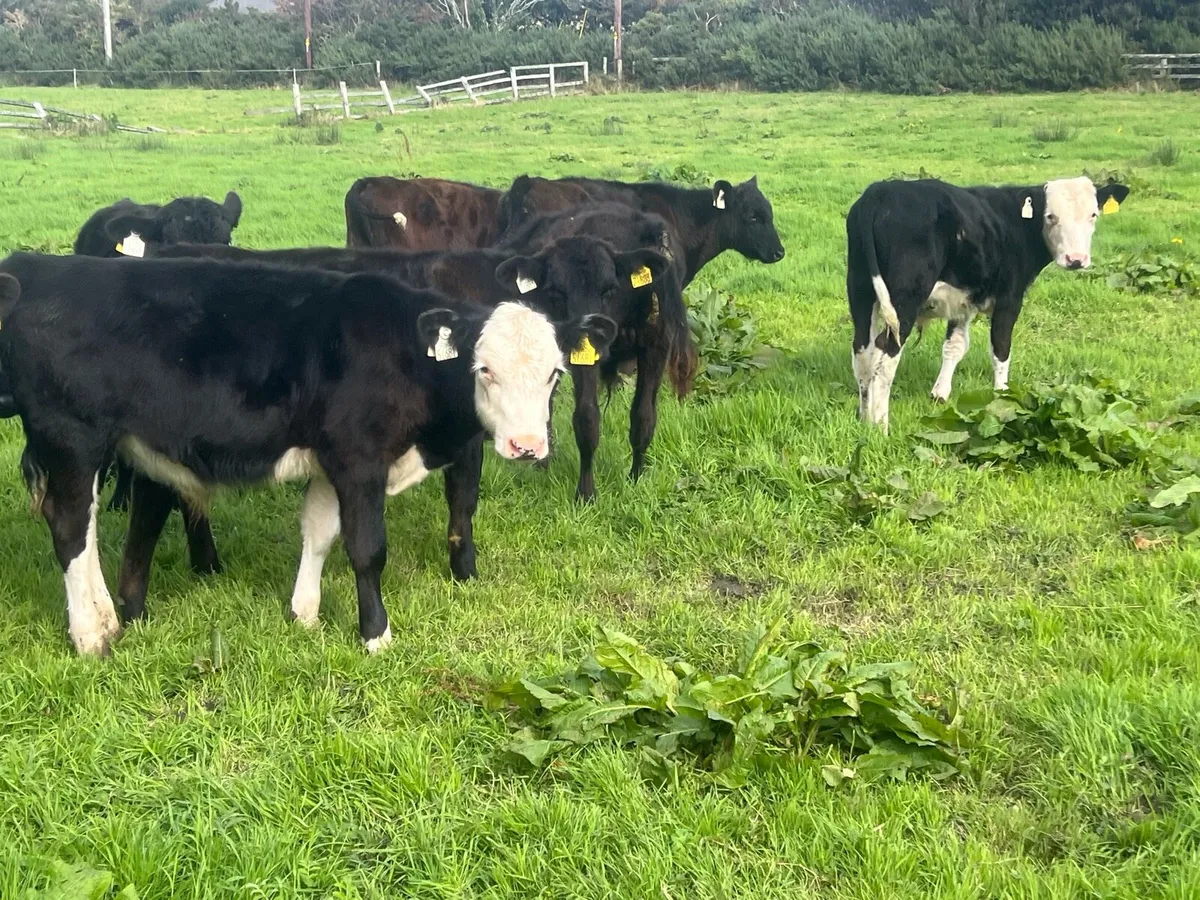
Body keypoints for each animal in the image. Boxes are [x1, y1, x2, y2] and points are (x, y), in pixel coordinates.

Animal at [0, 253, 617, 656]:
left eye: (555, 373)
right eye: (483, 369)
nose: (526, 445)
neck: (402, 353)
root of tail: (40, 267)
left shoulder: (332, 461)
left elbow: (319, 532)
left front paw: (304, 614)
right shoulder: (360, 460)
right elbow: (367, 549)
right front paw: (375, 635)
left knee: (113, 525)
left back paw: (122, 618)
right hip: (71, 437)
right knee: (70, 526)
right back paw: (91, 635)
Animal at [846, 176, 1131, 431]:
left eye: (1093, 214)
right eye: (1050, 216)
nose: (1076, 259)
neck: (1017, 224)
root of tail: (880, 191)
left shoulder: (963, 302)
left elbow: (955, 346)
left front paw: (940, 393)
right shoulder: (1010, 300)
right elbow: (1001, 350)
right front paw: (1003, 397)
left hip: (860, 290)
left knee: (863, 351)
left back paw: (864, 418)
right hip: (904, 300)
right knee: (885, 356)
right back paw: (880, 426)